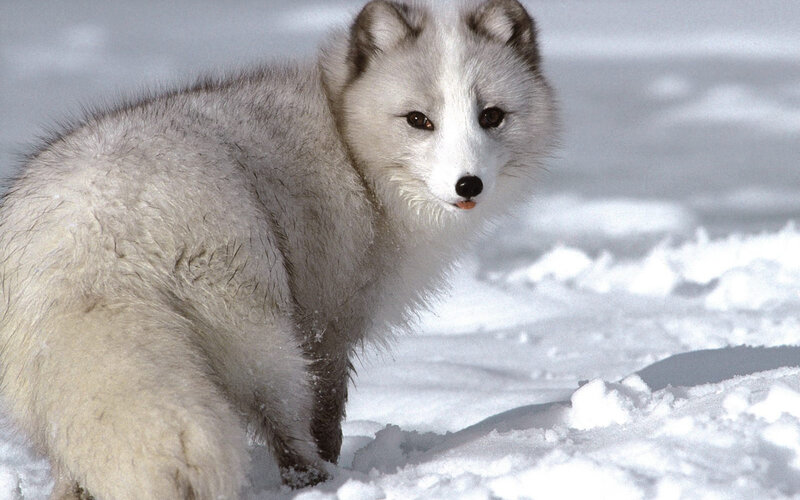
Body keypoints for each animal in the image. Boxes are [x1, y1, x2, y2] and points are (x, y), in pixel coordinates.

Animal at [0, 0, 556, 498]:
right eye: (418, 120)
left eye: (491, 116)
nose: (468, 184)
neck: (350, 146)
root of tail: (94, 234)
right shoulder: (329, 325)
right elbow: (327, 413)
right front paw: (333, 464)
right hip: (261, 337)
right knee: (285, 427)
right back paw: (319, 481)